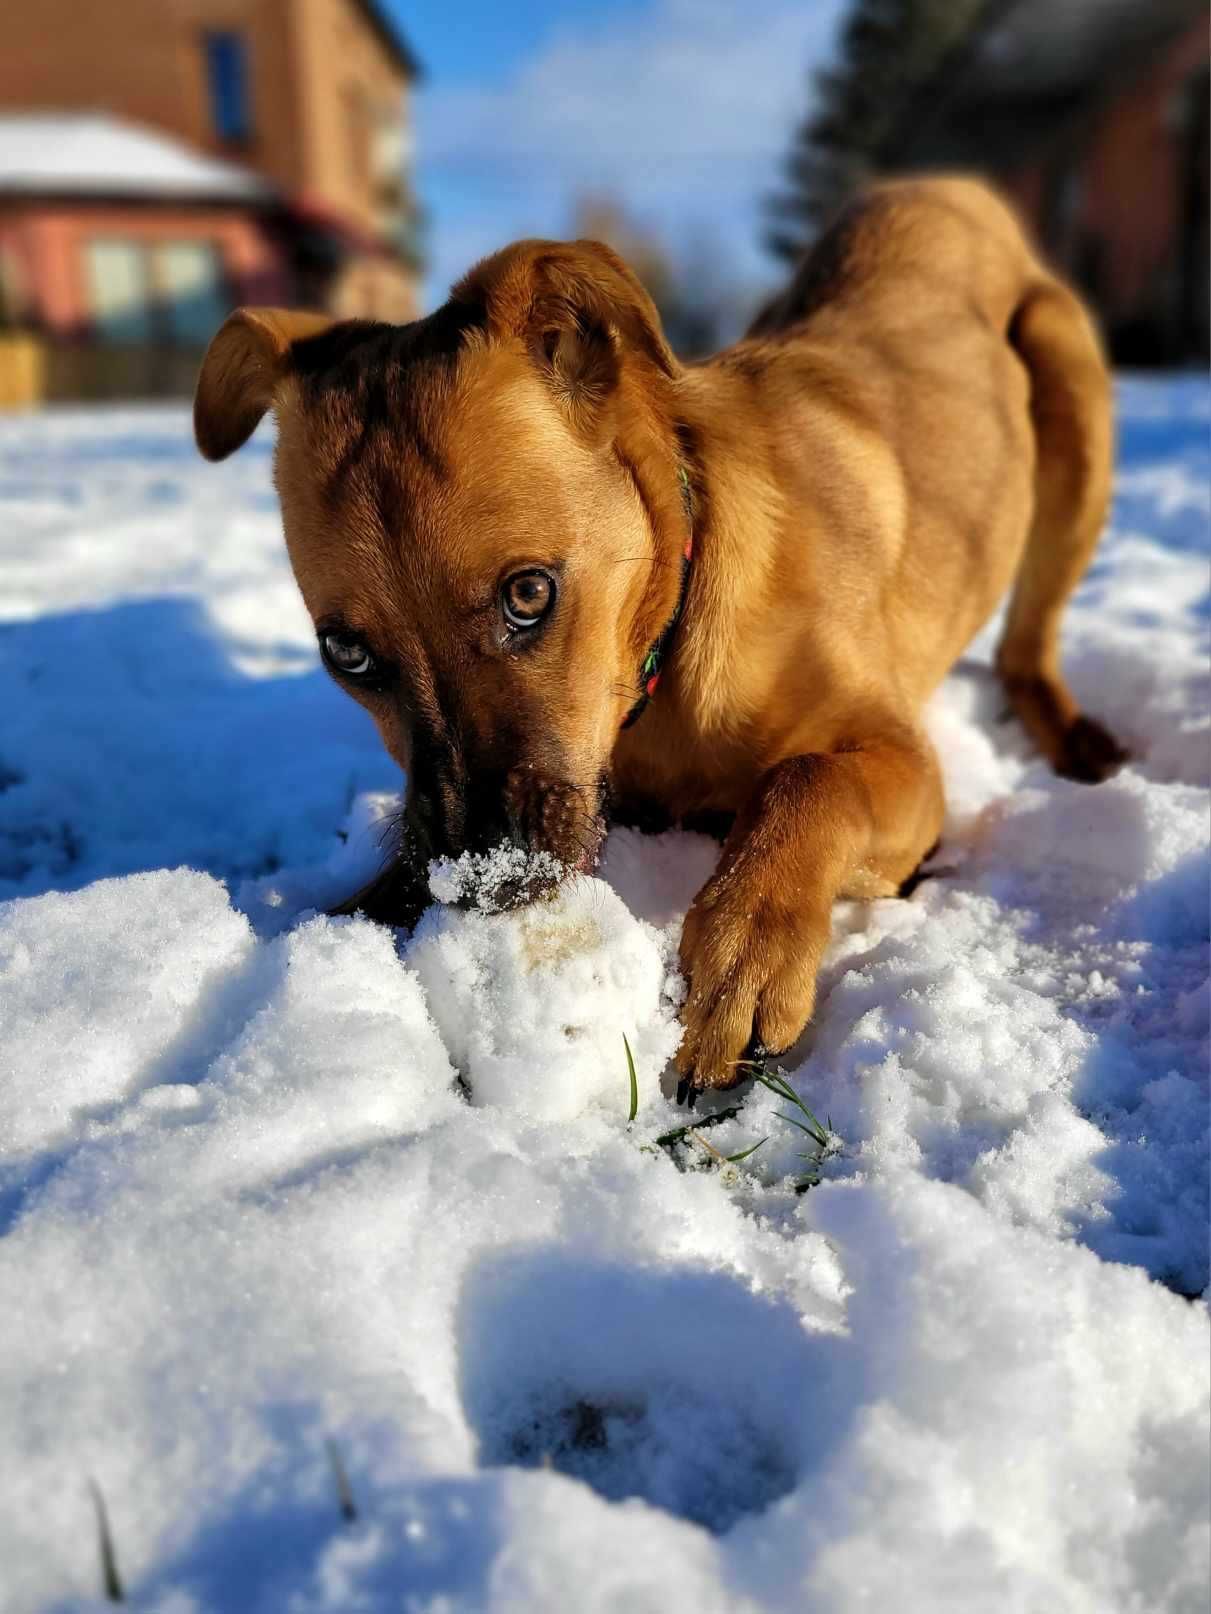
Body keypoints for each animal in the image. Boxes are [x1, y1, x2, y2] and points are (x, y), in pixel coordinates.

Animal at [192, 183, 1130, 1103]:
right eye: (345, 654)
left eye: (528, 593)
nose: (481, 881)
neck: (660, 672)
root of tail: (941, 186)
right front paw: (349, 915)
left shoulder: (903, 761)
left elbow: (808, 778)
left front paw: (745, 946)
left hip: (1070, 403)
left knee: (1026, 642)